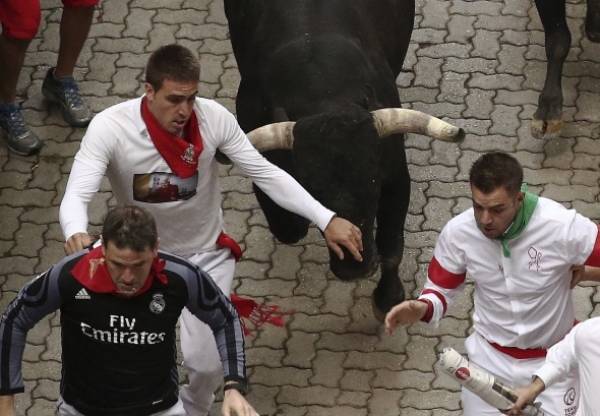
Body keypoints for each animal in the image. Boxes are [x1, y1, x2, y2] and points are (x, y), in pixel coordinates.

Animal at [223, 0, 462, 316]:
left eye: (374, 185)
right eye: (311, 192)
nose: (353, 270)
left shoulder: (396, 175)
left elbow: (391, 247)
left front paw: (389, 298)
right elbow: (288, 226)